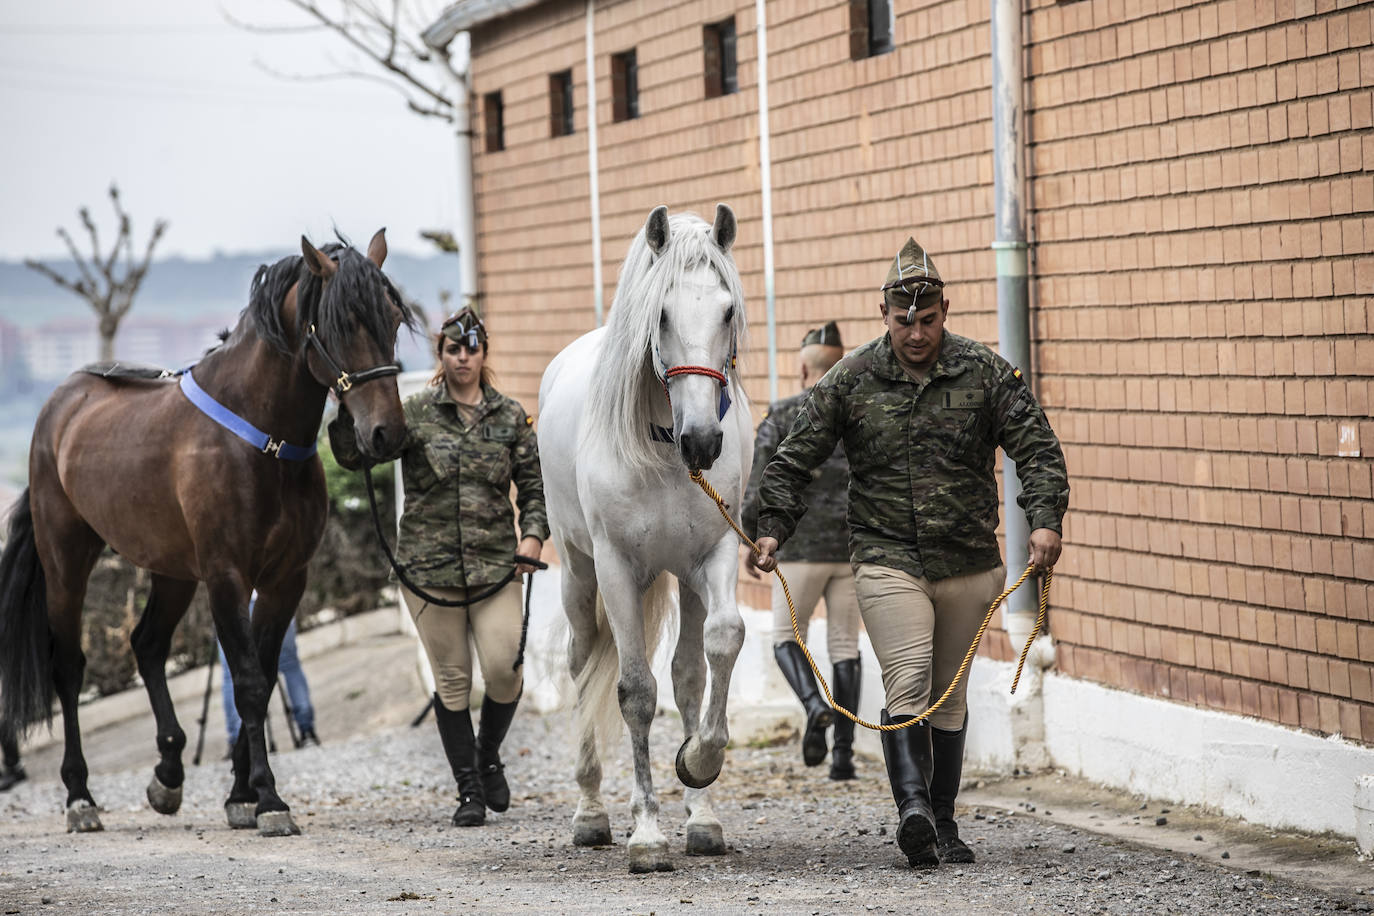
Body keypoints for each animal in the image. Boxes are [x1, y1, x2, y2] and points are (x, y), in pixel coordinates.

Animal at [0, 230, 412, 840]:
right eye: (340, 324)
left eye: (392, 317)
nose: (386, 434)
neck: (260, 441)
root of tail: (60, 405)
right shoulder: (226, 577)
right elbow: (249, 684)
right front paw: (269, 799)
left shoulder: (286, 580)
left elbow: (263, 674)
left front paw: (241, 795)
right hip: (66, 560)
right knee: (68, 669)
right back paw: (80, 796)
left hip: (171, 570)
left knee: (146, 644)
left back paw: (168, 774)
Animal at [538, 201, 752, 873]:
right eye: (660, 314)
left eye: (728, 311)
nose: (703, 442)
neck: (661, 446)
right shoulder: (615, 569)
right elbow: (634, 692)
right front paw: (648, 834)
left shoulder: (715, 556)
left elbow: (719, 646)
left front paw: (700, 770)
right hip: (578, 573)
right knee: (583, 664)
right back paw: (590, 812)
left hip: (680, 577)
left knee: (687, 673)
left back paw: (698, 813)